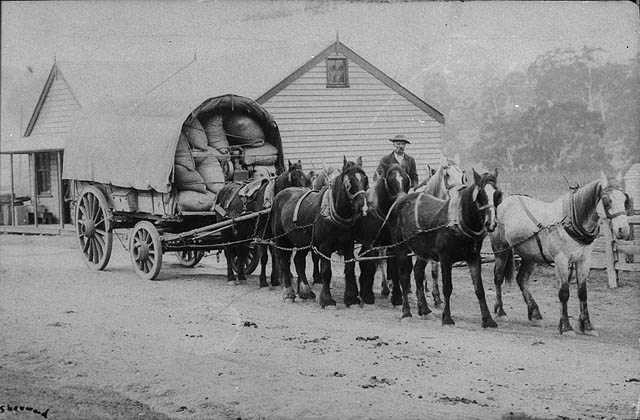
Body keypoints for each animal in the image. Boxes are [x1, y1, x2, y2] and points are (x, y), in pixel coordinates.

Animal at [270, 157, 369, 307]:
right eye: (348, 182)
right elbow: (326, 271)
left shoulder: (348, 244)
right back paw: (288, 293)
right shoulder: (324, 246)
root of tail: (280, 194)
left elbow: (350, 268)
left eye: (365, 180)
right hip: (282, 239)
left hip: (303, 241)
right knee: (284, 262)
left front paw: (351, 298)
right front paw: (327, 300)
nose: (362, 207)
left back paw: (305, 291)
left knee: (299, 261)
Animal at [387, 169, 501, 328]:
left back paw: (425, 310)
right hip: (401, 247)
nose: (491, 223)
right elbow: (447, 287)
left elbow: (479, 289)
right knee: (404, 276)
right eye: (480, 195)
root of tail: (400, 200)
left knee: (418, 272)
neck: (458, 221)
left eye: (497, 195)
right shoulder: (445, 258)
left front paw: (488, 319)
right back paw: (406, 312)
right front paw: (447, 318)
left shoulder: (474, 258)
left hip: (423, 250)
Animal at [489, 172, 632, 336]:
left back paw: (535, 314)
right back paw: (501, 312)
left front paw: (587, 326)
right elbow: (564, 293)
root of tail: (505, 202)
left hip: (530, 256)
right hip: (501, 250)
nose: (623, 230)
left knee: (522, 279)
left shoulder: (584, 261)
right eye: (607, 200)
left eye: (625, 199)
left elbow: (582, 292)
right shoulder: (561, 260)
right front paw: (566, 327)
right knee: (498, 278)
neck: (570, 221)